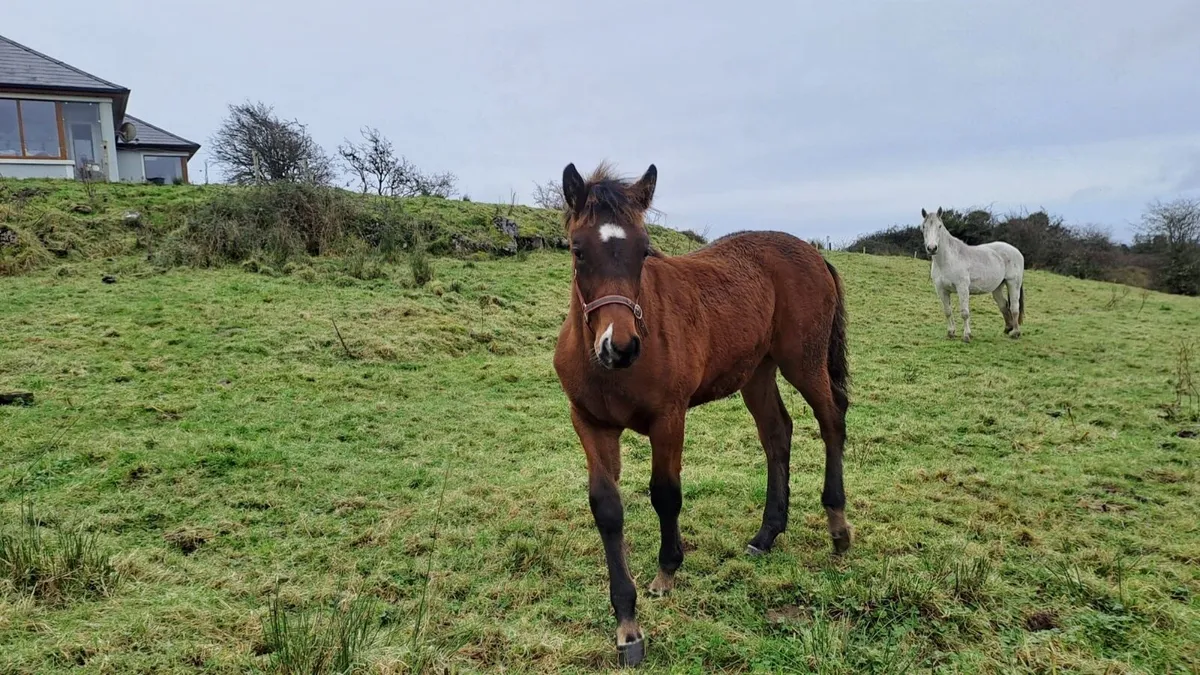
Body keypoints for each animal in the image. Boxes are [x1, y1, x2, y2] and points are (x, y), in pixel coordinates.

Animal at [552, 162, 853, 667]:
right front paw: (627, 625)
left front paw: (667, 571)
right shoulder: (591, 424)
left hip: (803, 362)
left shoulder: (669, 418)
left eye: (644, 249)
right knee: (777, 433)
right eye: (577, 249)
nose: (621, 346)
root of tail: (813, 253)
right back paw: (766, 534)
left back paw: (838, 526)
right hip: (757, 372)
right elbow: (607, 508)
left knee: (832, 421)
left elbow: (665, 494)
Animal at [920, 207, 1025, 343]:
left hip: (1013, 283)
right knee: (1003, 305)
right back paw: (1008, 329)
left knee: (1014, 307)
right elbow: (947, 311)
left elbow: (964, 313)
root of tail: (1016, 251)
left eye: (939, 226)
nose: (932, 248)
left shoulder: (962, 288)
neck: (947, 260)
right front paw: (950, 333)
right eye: (924, 226)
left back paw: (1015, 333)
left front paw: (966, 335)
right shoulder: (941, 290)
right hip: (997, 288)